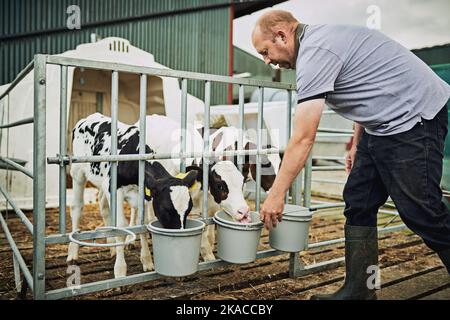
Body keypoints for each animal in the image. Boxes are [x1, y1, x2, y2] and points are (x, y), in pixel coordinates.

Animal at [68, 112, 197, 278]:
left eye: (188, 210)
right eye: (167, 209)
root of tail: (89, 117)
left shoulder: (143, 195)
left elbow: (143, 224)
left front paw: (147, 261)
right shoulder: (114, 190)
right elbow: (121, 227)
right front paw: (120, 270)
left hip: (101, 181)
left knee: (103, 205)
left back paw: (112, 247)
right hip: (78, 173)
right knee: (77, 208)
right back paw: (72, 253)